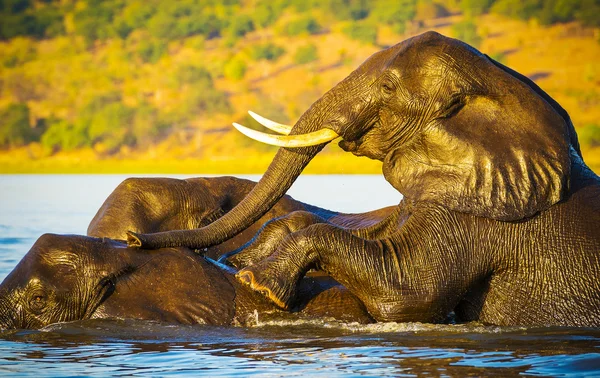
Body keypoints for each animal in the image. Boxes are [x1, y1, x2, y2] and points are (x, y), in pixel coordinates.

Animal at [126, 32, 600, 328]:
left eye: (388, 87)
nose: (132, 238)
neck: (498, 86)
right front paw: (240, 261)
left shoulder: (484, 215)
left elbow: (409, 291)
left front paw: (255, 283)